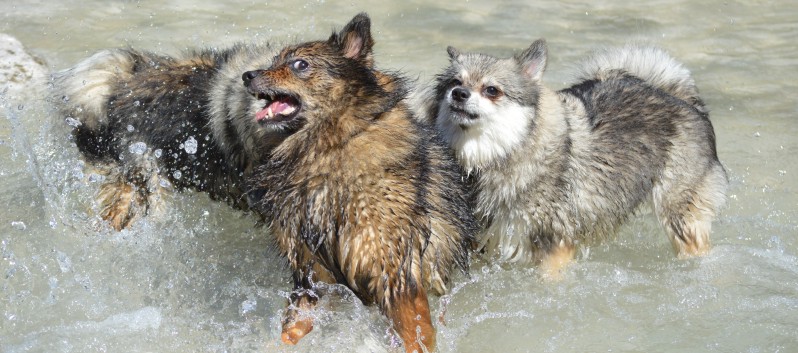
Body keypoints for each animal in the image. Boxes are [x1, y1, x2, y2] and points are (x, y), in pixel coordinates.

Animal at [247, 12, 478, 350]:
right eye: (275, 60)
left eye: (300, 64)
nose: (247, 75)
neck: (328, 148)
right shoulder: (311, 272)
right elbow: (292, 327)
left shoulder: (393, 272)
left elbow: (415, 334)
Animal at [418, 39, 732, 276]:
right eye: (454, 82)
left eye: (491, 90)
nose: (459, 94)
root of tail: (679, 97)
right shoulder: (487, 241)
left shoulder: (555, 245)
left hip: (680, 217)